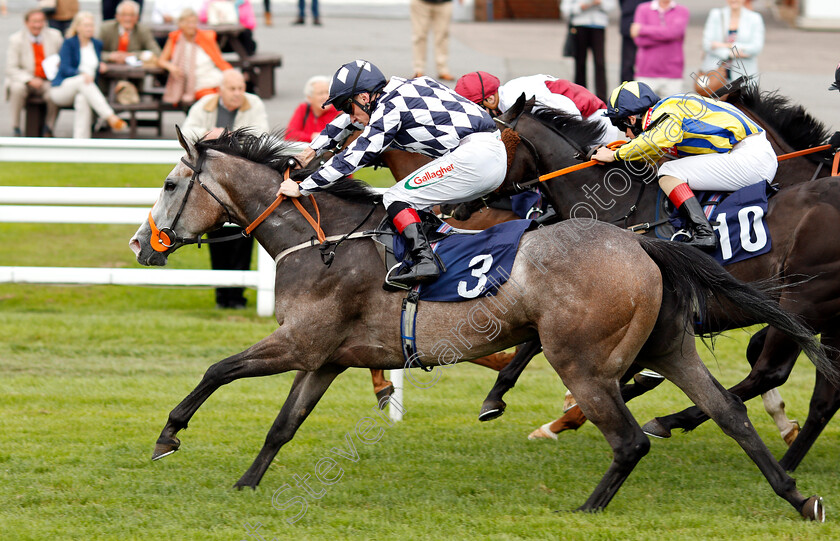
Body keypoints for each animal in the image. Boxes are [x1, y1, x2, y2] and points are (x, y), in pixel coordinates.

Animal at [130, 129, 828, 516]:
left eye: (168, 184)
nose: (141, 243)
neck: (322, 240)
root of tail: (641, 244)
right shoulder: (325, 358)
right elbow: (282, 427)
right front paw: (247, 483)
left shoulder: (298, 344)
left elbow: (217, 369)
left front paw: (168, 435)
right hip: (669, 346)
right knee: (728, 412)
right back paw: (797, 496)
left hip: (581, 360)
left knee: (630, 440)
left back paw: (587, 507)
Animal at [480, 90, 840, 470]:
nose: (460, 208)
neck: (621, 209)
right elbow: (535, 344)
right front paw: (498, 400)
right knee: (824, 393)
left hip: (805, 300)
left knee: (770, 371)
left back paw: (674, 421)